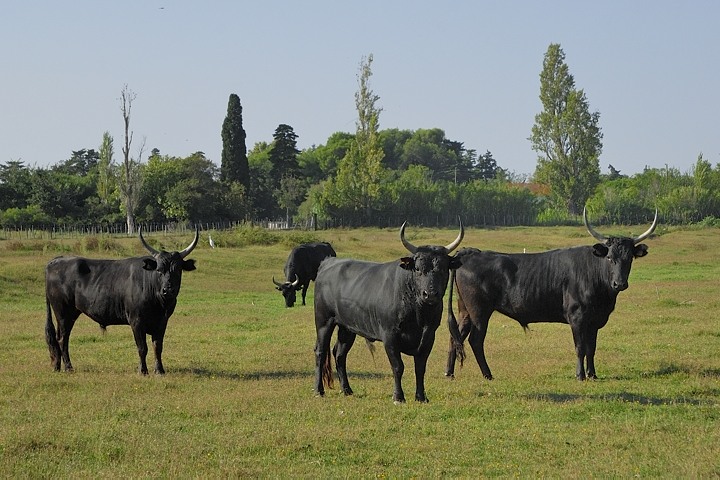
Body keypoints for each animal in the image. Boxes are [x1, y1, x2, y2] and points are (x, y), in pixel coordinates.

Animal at [45, 229, 198, 376]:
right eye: (159, 270)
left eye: (178, 270)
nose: (168, 290)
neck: (158, 301)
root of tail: (56, 261)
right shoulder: (136, 321)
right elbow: (142, 348)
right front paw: (142, 371)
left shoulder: (162, 322)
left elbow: (157, 347)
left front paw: (159, 370)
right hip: (63, 313)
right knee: (62, 339)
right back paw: (68, 367)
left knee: (59, 338)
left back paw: (57, 367)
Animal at [314, 223, 462, 404]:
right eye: (417, 268)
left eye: (442, 268)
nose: (430, 294)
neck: (417, 314)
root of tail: (328, 263)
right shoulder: (389, 336)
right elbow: (398, 367)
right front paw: (398, 396)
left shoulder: (429, 336)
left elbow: (420, 368)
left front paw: (421, 397)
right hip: (323, 322)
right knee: (320, 352)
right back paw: (319, 390)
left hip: (347, 328)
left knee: (339, 354)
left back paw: (347, 389)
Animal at [448, 208, 660, 380]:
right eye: (609, 257)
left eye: (629, 258)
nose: (620, 283)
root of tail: (469, 253)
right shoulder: (577, 318)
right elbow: (580, 348)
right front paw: (580, 375)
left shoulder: (594, 321)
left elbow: (591, 348)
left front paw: (593, 374)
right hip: (479, 312)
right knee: (475, 340)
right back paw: (488, 374)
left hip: (465, 311)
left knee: (456, 336)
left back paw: (449, 373)